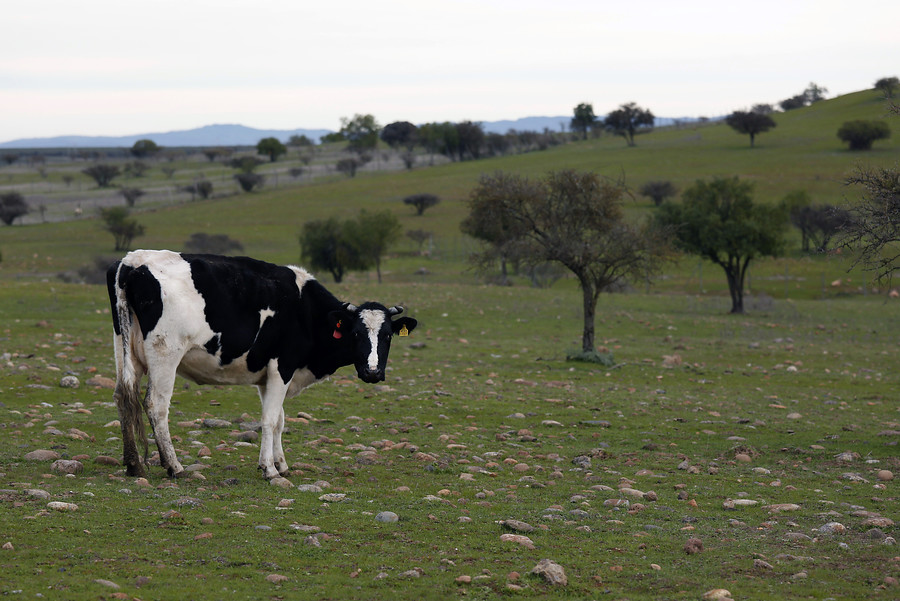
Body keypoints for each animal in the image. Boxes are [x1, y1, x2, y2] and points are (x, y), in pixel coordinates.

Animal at [106, 248, 418, 478]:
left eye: (387, 335)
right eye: (356, 333)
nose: (373, 372)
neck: (306, 311)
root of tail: (133, 261)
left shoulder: (266, 374)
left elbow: (279, 419)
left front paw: (280, 463)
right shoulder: (282, 366)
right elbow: (269, 419)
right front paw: (270, 469)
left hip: (124, 349)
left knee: (122, 396)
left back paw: (133, 464)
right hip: (165, 352)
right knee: (156, 405)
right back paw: (174, 466)